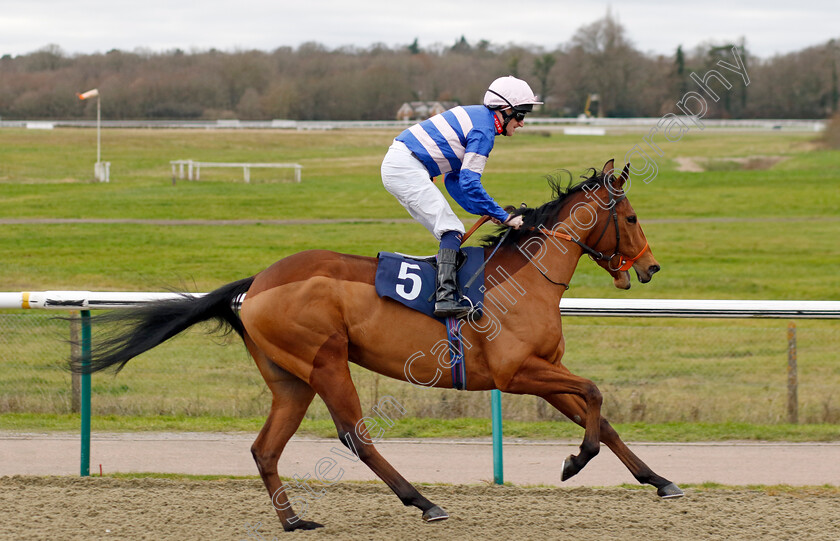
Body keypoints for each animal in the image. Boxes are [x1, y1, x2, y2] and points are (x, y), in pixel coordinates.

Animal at [74, 158, 684, 528]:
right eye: (631, 216)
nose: (651, 267)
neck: (525, 278)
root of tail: (258, 282)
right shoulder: (517, 373)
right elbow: (596, 393)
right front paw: (574, 462)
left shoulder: (541, 371)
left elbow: (603, 418)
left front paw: (658, 480)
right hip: (325, 362)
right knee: (354, 435)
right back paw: (424, 501)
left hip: (290, 379)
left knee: (265, 448)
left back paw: (294, 520)